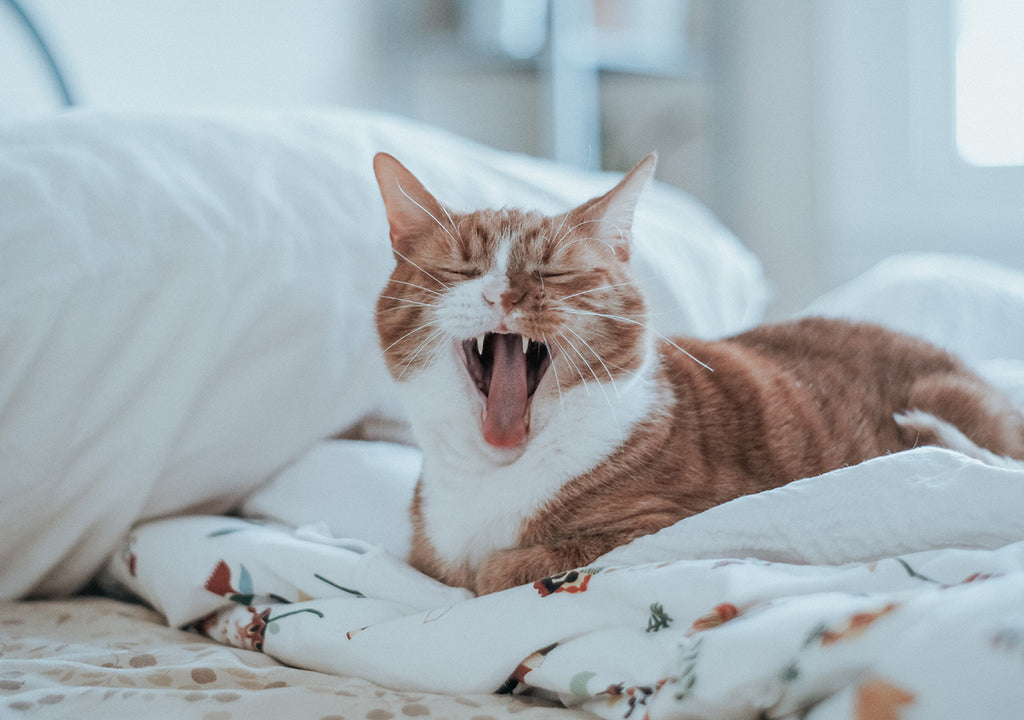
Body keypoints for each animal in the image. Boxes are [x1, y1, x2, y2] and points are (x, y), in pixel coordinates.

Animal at [370, 149, 1024, 594]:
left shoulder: (686, 521)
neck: (493, 474)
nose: (503, 294)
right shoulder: (423, 553)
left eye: (556, 273)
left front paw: (491, 566)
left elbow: (498, 569)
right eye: (461, 270)